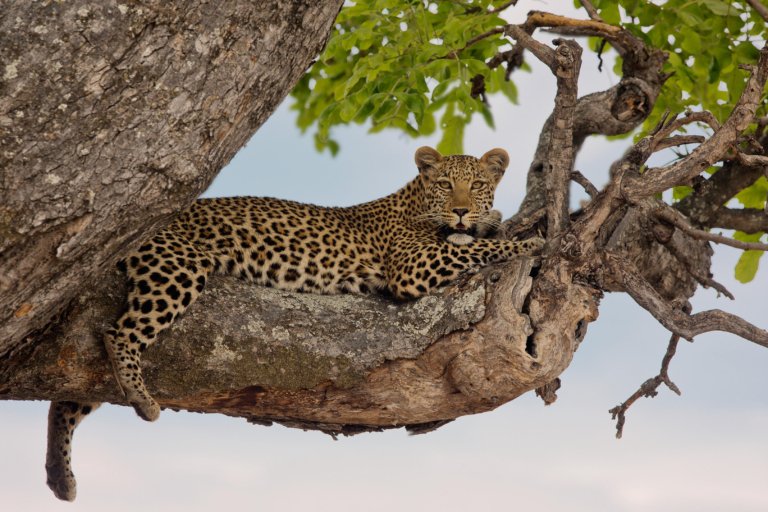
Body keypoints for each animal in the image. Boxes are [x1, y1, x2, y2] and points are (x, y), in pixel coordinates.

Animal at [45, 146, 544, 500]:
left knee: (73, 392)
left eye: (476, 184)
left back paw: (58, 474)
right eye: (444, 184)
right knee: (118, 335)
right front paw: (531, 242)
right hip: (179, 264)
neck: (415, 202)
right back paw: (141, 398)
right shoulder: (413, 266)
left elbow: (475, 239)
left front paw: (492, 220)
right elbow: (478, 248)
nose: (461, 210)